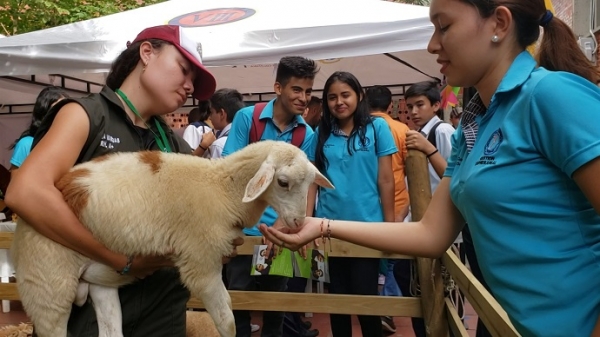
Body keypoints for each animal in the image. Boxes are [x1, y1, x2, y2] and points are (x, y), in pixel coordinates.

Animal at [10, 140, 332, 336]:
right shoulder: (201, 262)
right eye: (283, 182)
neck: (222, 187)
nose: (298, 222)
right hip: (47, 285)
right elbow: (227, 323)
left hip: (99, 280)